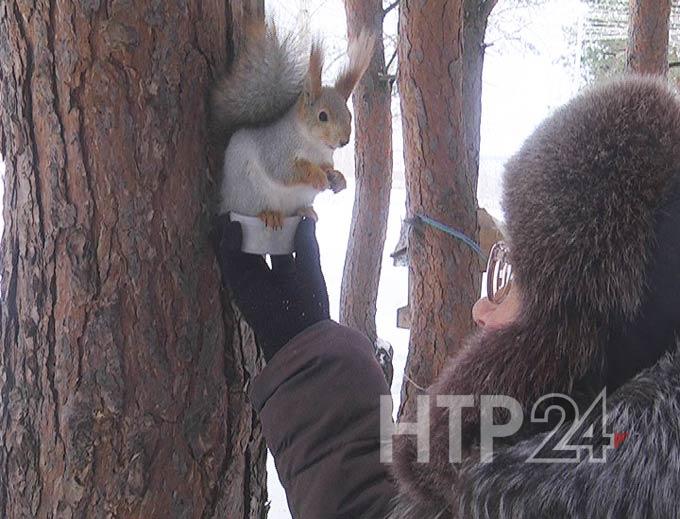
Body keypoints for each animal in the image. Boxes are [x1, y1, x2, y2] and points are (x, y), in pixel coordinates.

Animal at [211, 21, 374, 230]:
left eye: (349, 115)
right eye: (322, 116)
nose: (344, 141)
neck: (314, 145)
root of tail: (226, 201)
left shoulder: (325, 157)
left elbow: (327, 167)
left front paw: (338, 178)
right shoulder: (276, 148)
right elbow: (284, 169)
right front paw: (317, 175)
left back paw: (306, 211)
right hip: (250, 192)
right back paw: (270, 214)